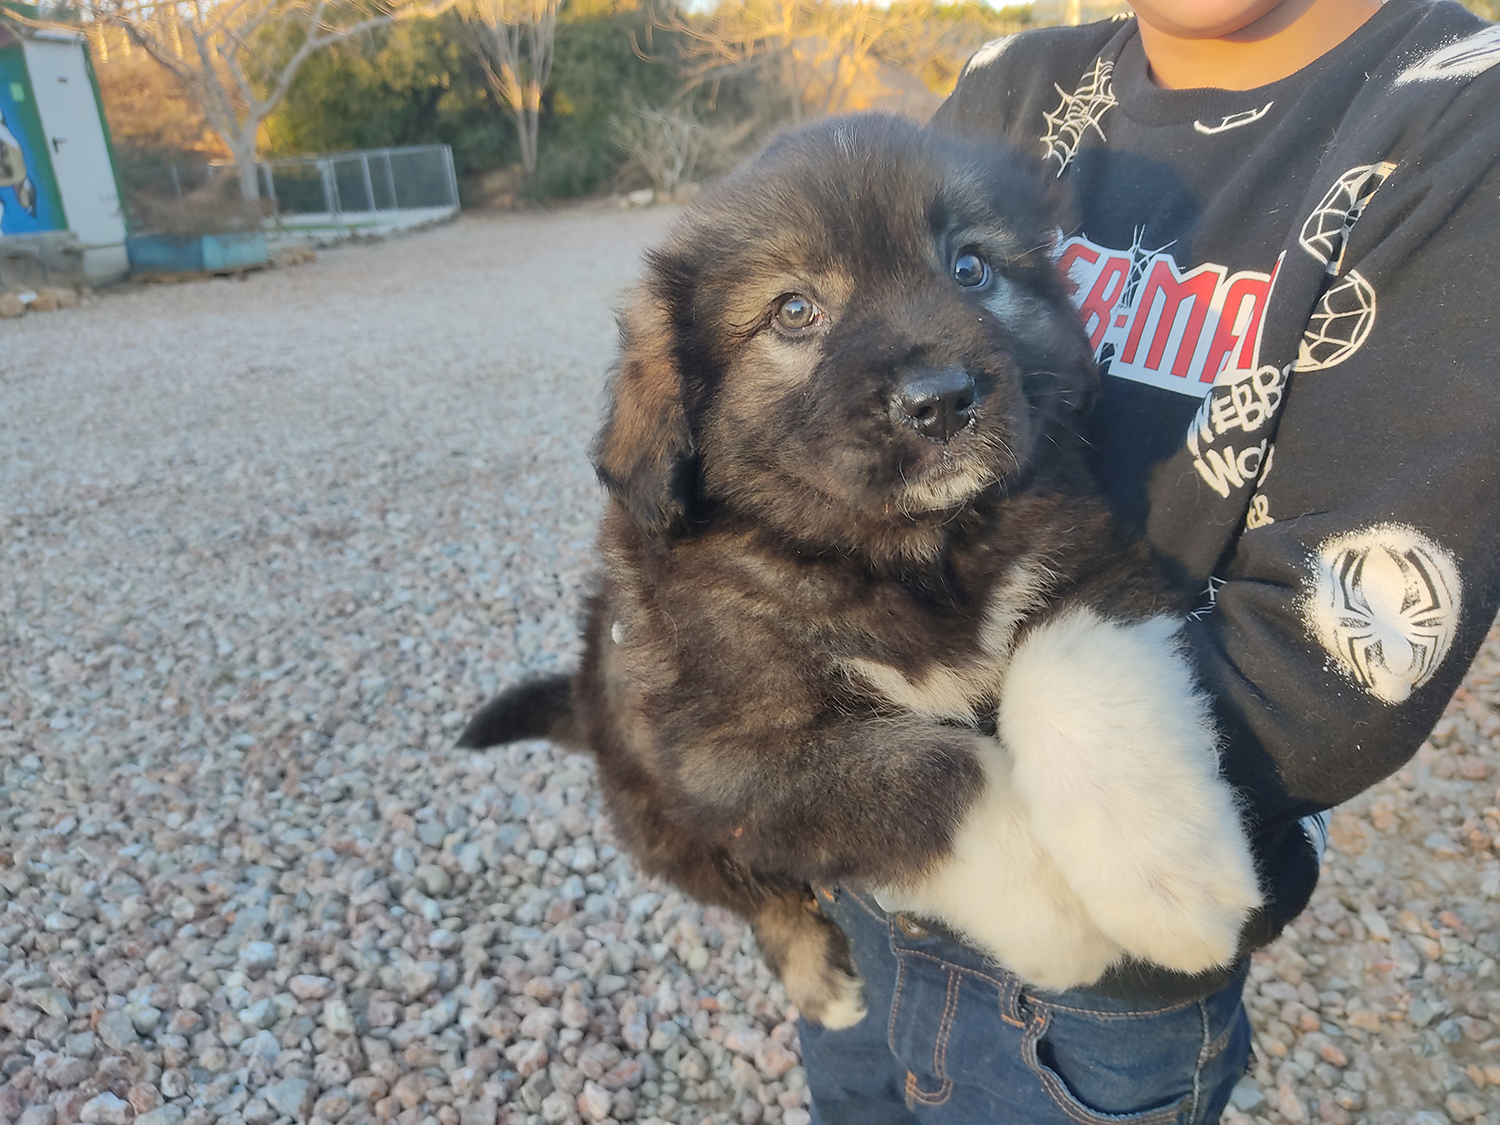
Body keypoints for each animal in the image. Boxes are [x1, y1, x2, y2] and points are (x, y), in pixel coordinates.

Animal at [462, 114, 1260, 1032]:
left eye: (971, 267)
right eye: (795, 311)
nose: (943, 399)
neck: (898, 552)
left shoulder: (1083, 555)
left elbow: (1072, 672)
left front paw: (1171, 883)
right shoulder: (733, 759)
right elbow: (934, 776)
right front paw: (1067, 922)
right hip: (666, 821)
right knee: (763, 901)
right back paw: (822, 981)